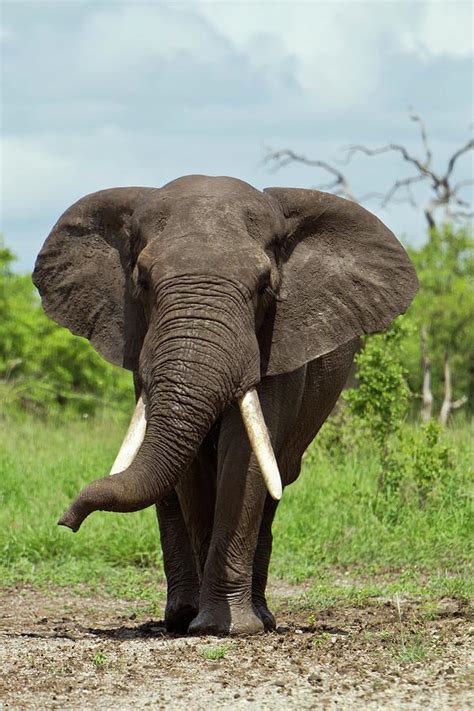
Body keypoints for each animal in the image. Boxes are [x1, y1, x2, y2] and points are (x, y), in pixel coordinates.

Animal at [33, 175, 416, 636]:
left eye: (264, 286)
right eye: (141, 281)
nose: (65, 521)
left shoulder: (276, 342)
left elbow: (245, 461)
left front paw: (227, 627)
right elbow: (191, 472)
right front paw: (206, 623)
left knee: (275, 480)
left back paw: (260, 617)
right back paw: (181, 616)